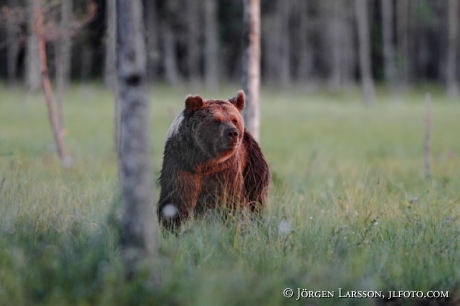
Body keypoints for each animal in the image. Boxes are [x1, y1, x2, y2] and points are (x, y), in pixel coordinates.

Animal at [158, 89, 270, 228]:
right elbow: (178, 199)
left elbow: (229, 199)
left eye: (234, 120)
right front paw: (174, 224)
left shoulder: (226, 170)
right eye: (217, 120)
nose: (233, 133)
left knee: (256, 197)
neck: (204, 162)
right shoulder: (181, 165)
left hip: (252, 166)